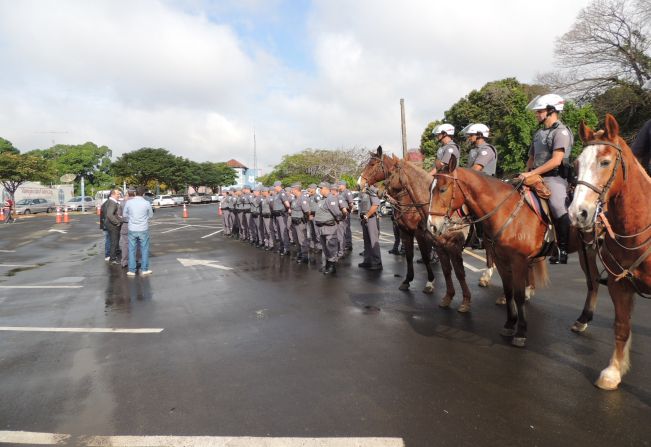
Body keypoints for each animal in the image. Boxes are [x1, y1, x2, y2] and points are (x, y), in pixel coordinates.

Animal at [356, 147, 474, 312]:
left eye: (372, 164)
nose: (359, 184)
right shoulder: (406, 231)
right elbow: (409, 256)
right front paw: (407, 280)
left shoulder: (421, 234)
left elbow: (426, 256)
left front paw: (430, 282)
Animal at [428, 156, 600, 348]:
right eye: (430, 189)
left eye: (442, 189)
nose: (431, 226)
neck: (507, 212)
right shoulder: (501, 260)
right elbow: (509, 291)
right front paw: (510, 323)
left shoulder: (518, 261)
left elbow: (518, 295)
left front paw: (521, 331)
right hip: (587, 251)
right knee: (593, 281)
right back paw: (582, 320)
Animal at [568, 114, 648, 390]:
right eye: (576, 164)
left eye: (605, 162)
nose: (578, 213)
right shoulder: (618, 284)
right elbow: (621, 327)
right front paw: (613, 371)